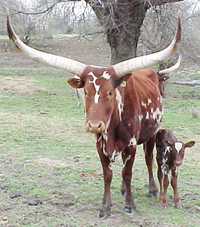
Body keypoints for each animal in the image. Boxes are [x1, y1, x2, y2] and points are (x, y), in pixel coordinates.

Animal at [6, 10, 181, 218]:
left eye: (110, 92)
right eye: (86, 91)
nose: (95, 125)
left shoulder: (131, 144)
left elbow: (128, 173)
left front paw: (130, 205)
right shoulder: (99, 143)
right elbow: (108, 174)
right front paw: (105, 206)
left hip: (152, 133)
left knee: (148, 159)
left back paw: (152, 189)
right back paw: (123, 189)